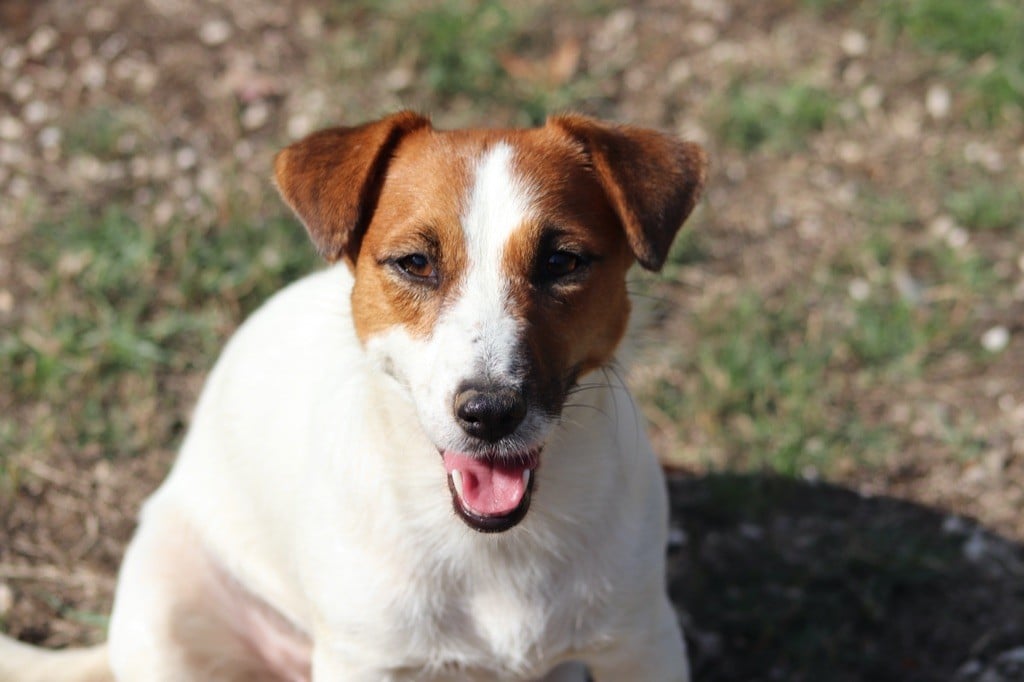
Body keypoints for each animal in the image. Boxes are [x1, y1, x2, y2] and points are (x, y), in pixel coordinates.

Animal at [0, 112, 707, 681]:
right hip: (168, 616)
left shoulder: (642, 642)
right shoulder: (365, 660)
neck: (492, 550)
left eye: (562, 262)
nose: (489, 413)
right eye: (416, 263)